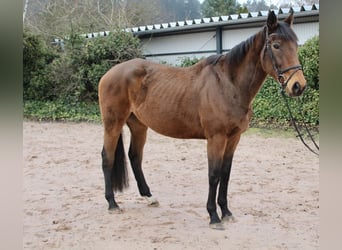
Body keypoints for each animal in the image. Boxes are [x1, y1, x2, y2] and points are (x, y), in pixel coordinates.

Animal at [97, 11, 306, 229]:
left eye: (295, 44)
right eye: (276, 45)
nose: (298, 85)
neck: (228, 84)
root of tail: (109, 74)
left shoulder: (233, 138)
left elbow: (225, 174)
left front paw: (226, 212)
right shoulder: (216, 138)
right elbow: (214, 175)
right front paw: (213, 216)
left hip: (139, 126)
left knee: (135, 157)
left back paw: (149, 197)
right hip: (113, 124)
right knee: (107, 158)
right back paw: (112, 203)